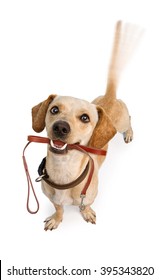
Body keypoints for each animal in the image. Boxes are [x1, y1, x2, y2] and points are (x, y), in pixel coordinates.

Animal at [30, 20, 141, 230]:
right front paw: (56, 218)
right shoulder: (53, 199)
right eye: (54, 110)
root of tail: (109, 96)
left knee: (130, 119)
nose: (60, 127)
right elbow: (59, 208)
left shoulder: (89, 198)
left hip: (122, 122)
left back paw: (129, 133)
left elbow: (86, 206)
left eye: (84, 118)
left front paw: (87, 213)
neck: (63, 171)